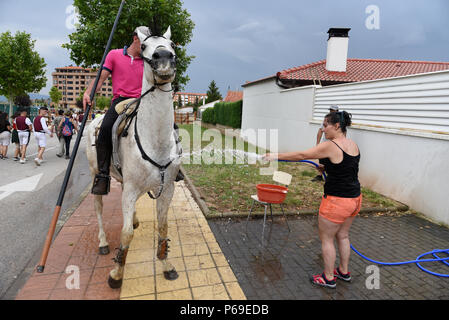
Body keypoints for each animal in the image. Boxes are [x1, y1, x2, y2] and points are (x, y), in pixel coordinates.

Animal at [86, 26, 180, 288]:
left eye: (172, 45)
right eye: (145, 46)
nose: (164, 59)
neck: (155, 139)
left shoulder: (166, 188)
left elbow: (164, 227)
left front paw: (166, 264)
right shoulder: (129, 189)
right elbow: (125, 233)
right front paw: (117, 273)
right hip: (96, 174)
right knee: (98, 207)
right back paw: (102, 242)